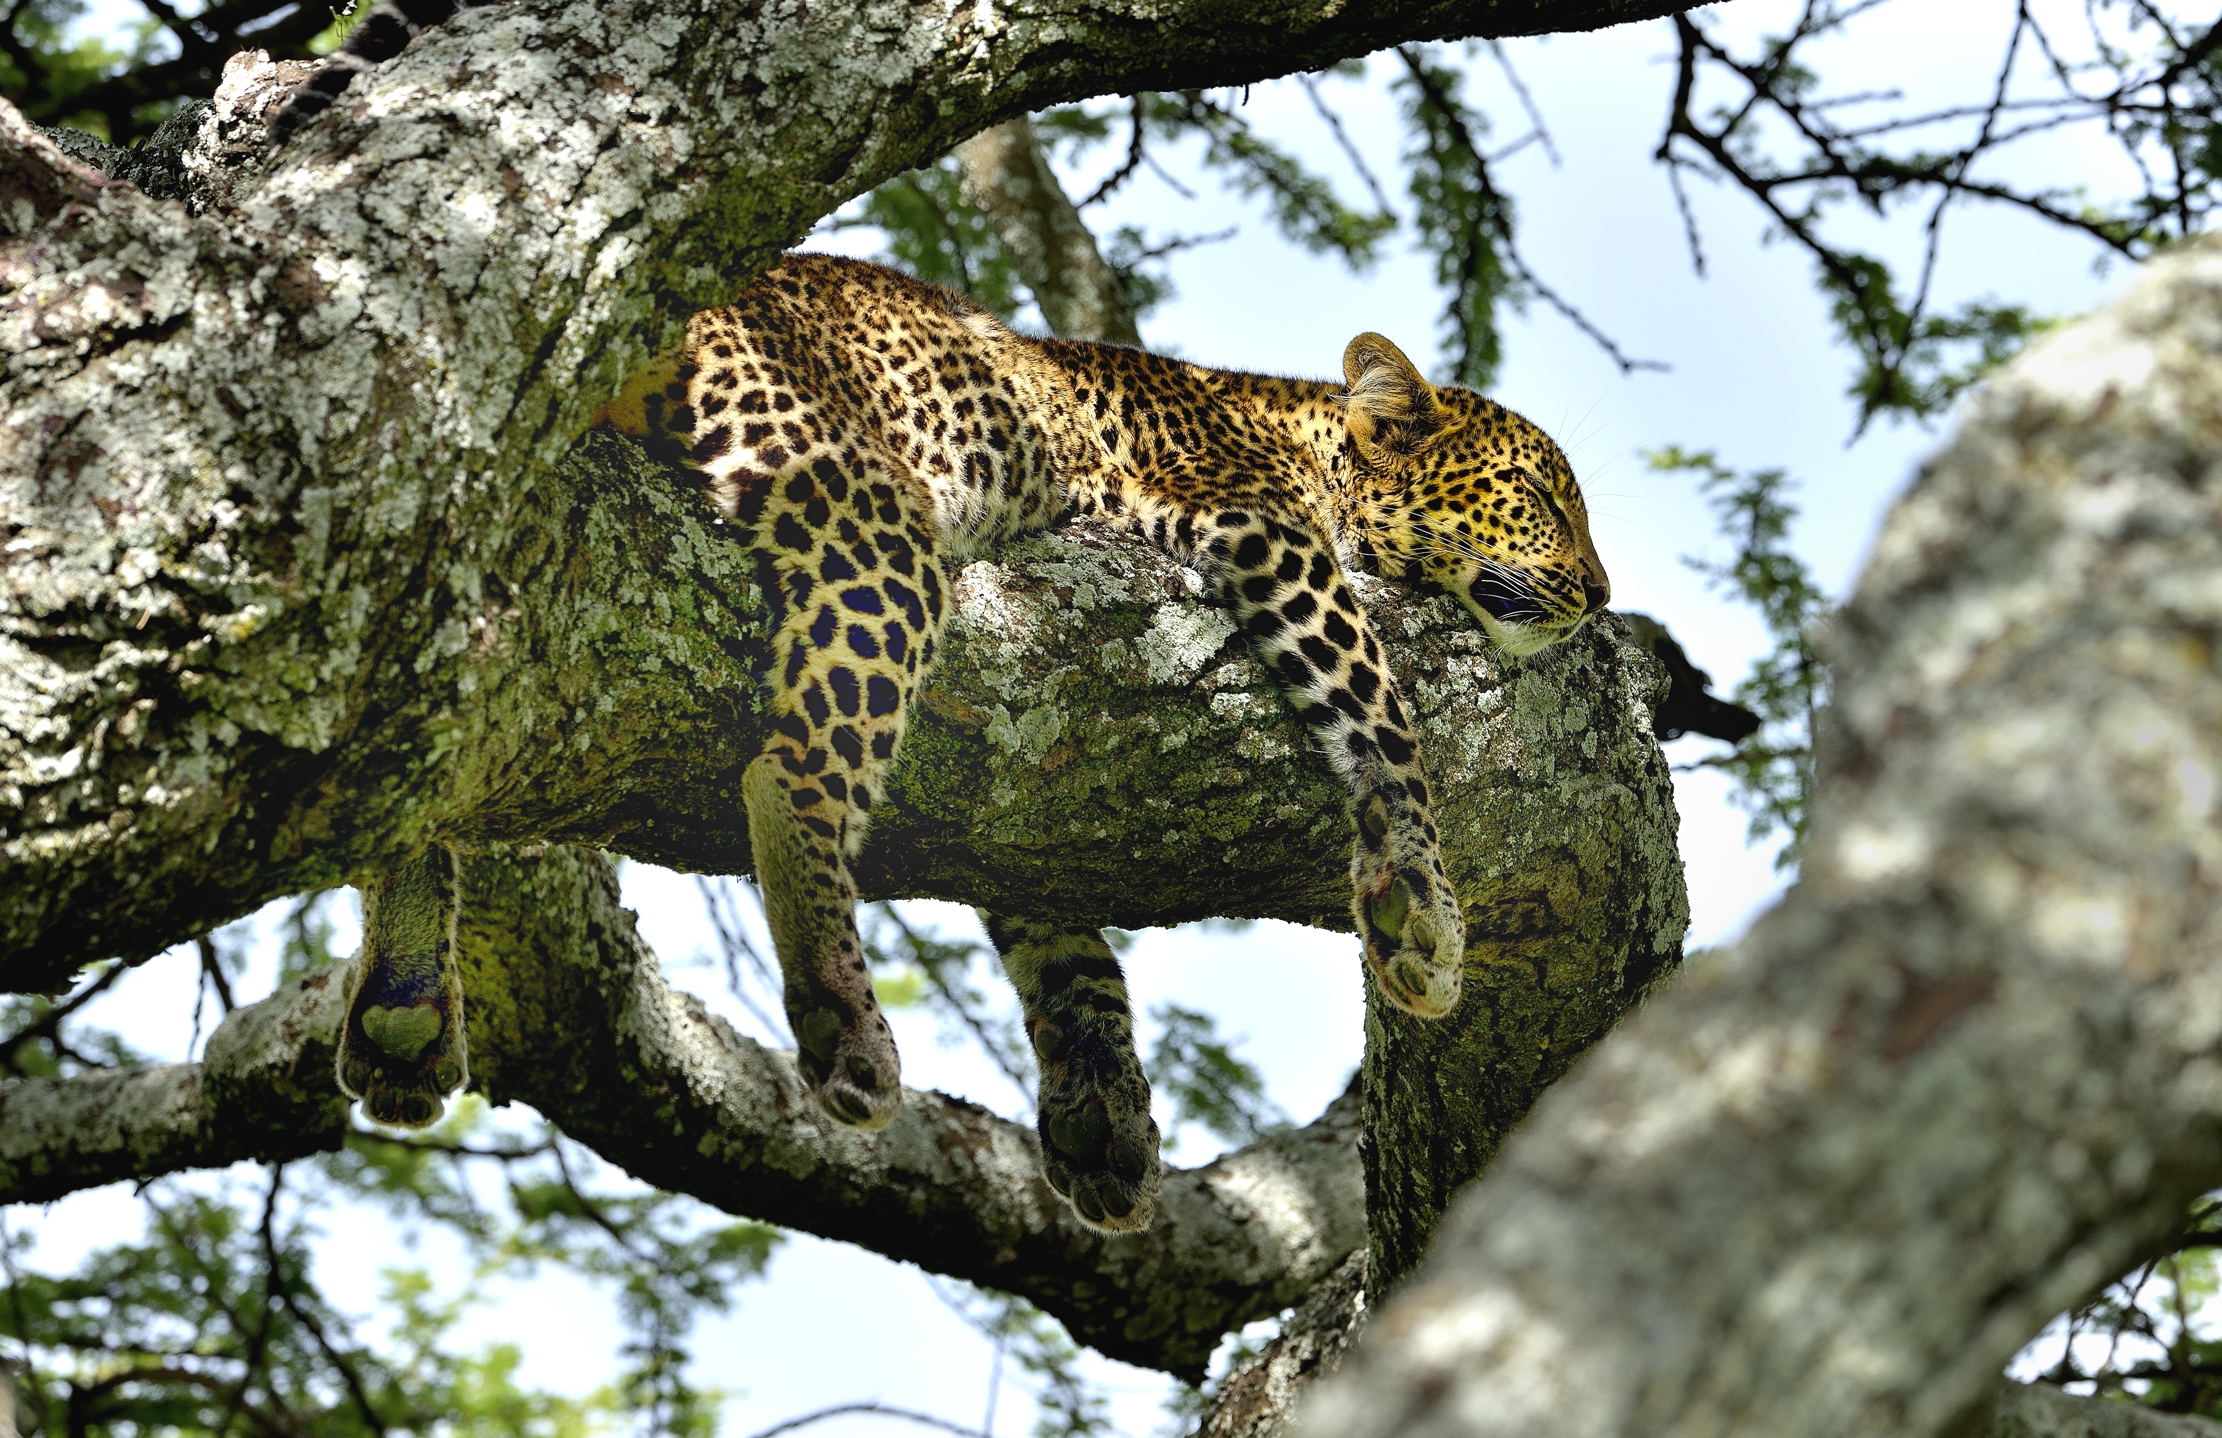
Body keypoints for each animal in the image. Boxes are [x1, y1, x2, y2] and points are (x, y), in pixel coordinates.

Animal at [335, 252, 1609, 1236]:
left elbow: (1052, 922)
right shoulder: (1253, 525)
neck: (1300, 432)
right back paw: (840, 1013)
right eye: (1541, 498)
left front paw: (1100, 1111)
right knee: (791, 768)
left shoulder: (1028, 773)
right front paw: (1419, 902)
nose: (1599, 595)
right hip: (866, 500)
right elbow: (1374, 699)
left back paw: (403, 1000)